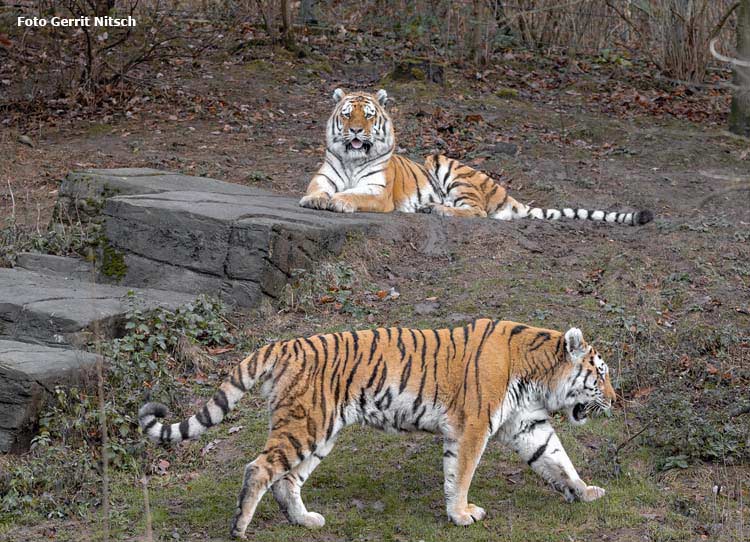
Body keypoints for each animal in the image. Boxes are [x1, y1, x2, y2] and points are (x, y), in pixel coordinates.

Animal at [140, 324, 616, 540]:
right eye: (601, 374)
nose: (615, 399)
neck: (538, 375)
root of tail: (284, 344)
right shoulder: (473, 427)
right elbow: (461, 475)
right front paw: (462, 514)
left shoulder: (528, 424)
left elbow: (557, 459)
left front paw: (585, 491)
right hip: (305, 425)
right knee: (259, 468)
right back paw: (239, 527)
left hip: (319, 433)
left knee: (287, 479)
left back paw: (305, 520)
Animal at [302, 89, 656, 227]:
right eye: (347, 114)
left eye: (368, 115)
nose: (356, 131)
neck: (352, 159)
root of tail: (507, 194)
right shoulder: (323, 177)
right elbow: (317, 190)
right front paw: (317, 200)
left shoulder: (378, 193)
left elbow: (355, 194)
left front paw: (340, 201)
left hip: (446, 165)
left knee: (477, 211)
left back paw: (436, 209)